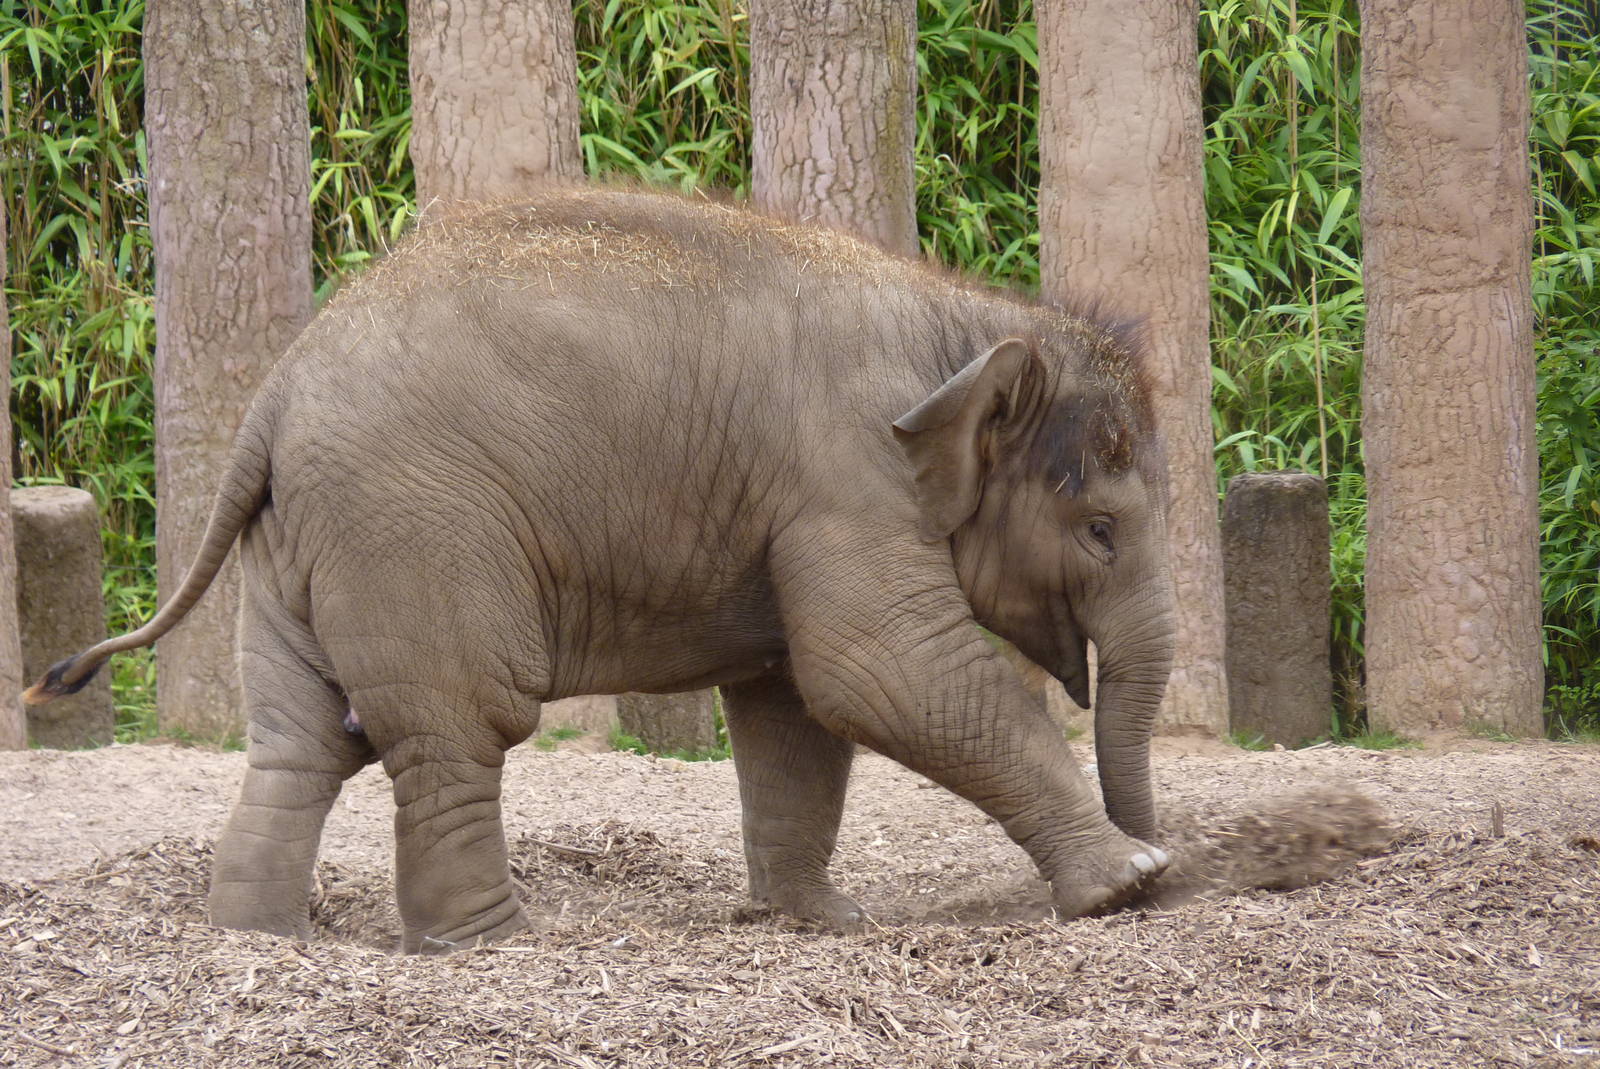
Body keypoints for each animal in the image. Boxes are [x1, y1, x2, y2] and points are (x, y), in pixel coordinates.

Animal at [26, 188, 1177, 953]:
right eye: (1100, 530)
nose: (1174, 867)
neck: (964, 317)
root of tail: (275, 389)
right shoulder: (843, 473)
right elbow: (878, 671)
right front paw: (1123, 883)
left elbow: (793, 707)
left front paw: (820, 919)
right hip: (414, 528)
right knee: (458, 726)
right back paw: (496, 940)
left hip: (298, 544)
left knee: (299, 741)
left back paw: (260, 937)